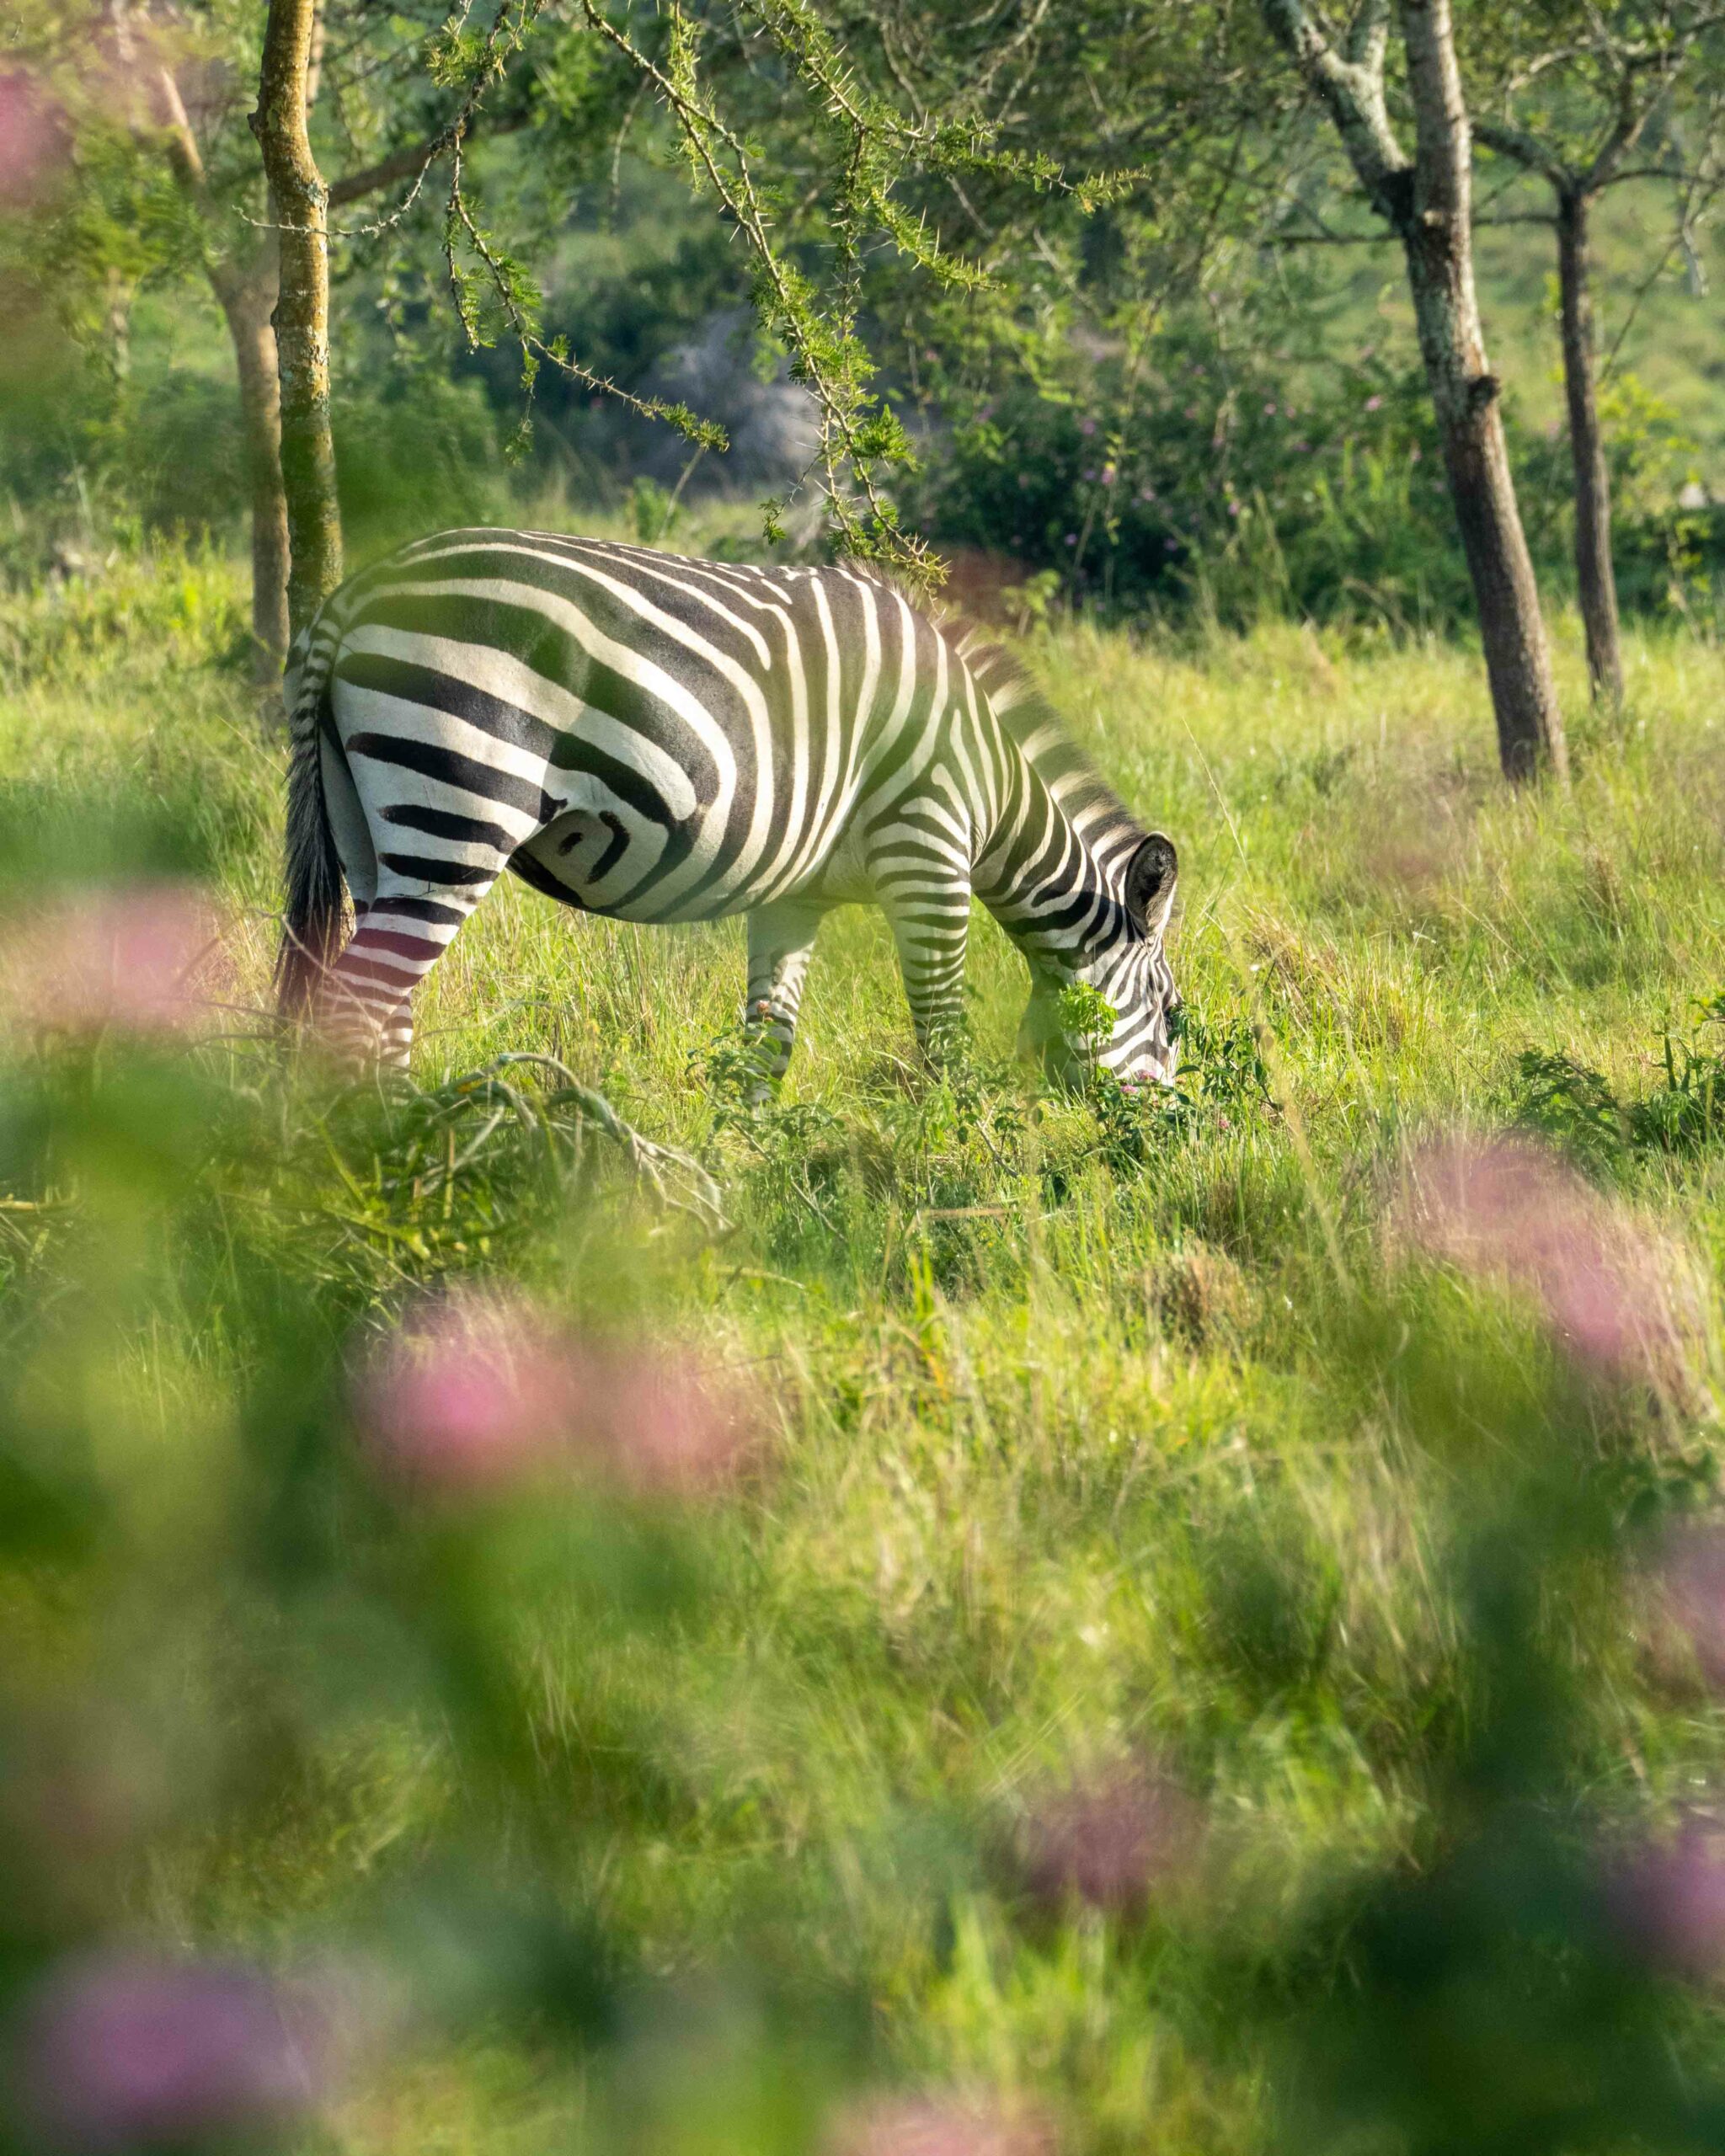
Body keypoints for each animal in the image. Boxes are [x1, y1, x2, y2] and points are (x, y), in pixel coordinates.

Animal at [275, 530, 1181, 1086]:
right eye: (1173, 1019)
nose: (1162, 1144)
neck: (990, 785)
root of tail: (352, 597)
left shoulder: (796, 896)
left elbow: (766, 1047)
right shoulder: (928, 853)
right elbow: (943, 1035)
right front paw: (958, 1158)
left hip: (371, 833)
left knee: (387, 1012)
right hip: (457, 812)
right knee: (352, 1010)